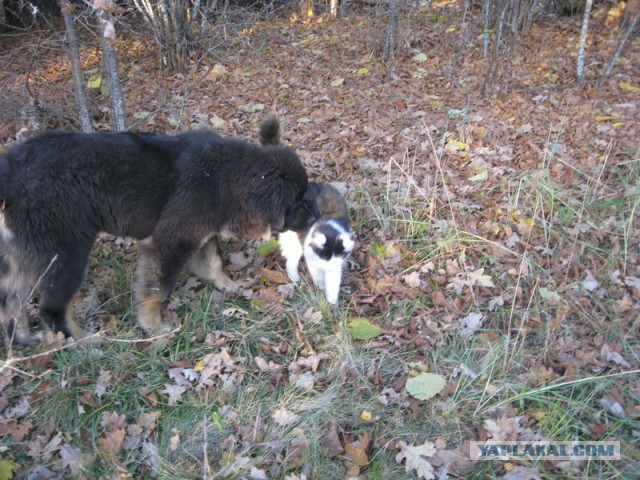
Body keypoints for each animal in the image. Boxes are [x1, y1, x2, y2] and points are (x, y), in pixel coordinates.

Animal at [0, 119, 310, 344]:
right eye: (297, 202)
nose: (313, 218)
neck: (225, 177)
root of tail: (12, 167)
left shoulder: (200, 231)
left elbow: (213, 262)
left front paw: (228, 285)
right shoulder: (169, 241)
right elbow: (157, 290)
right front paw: (154, 327)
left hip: (22, 251)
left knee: (11, 301)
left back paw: (25, 339)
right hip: (68, 250)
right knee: (51, 308)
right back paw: (86, 343)